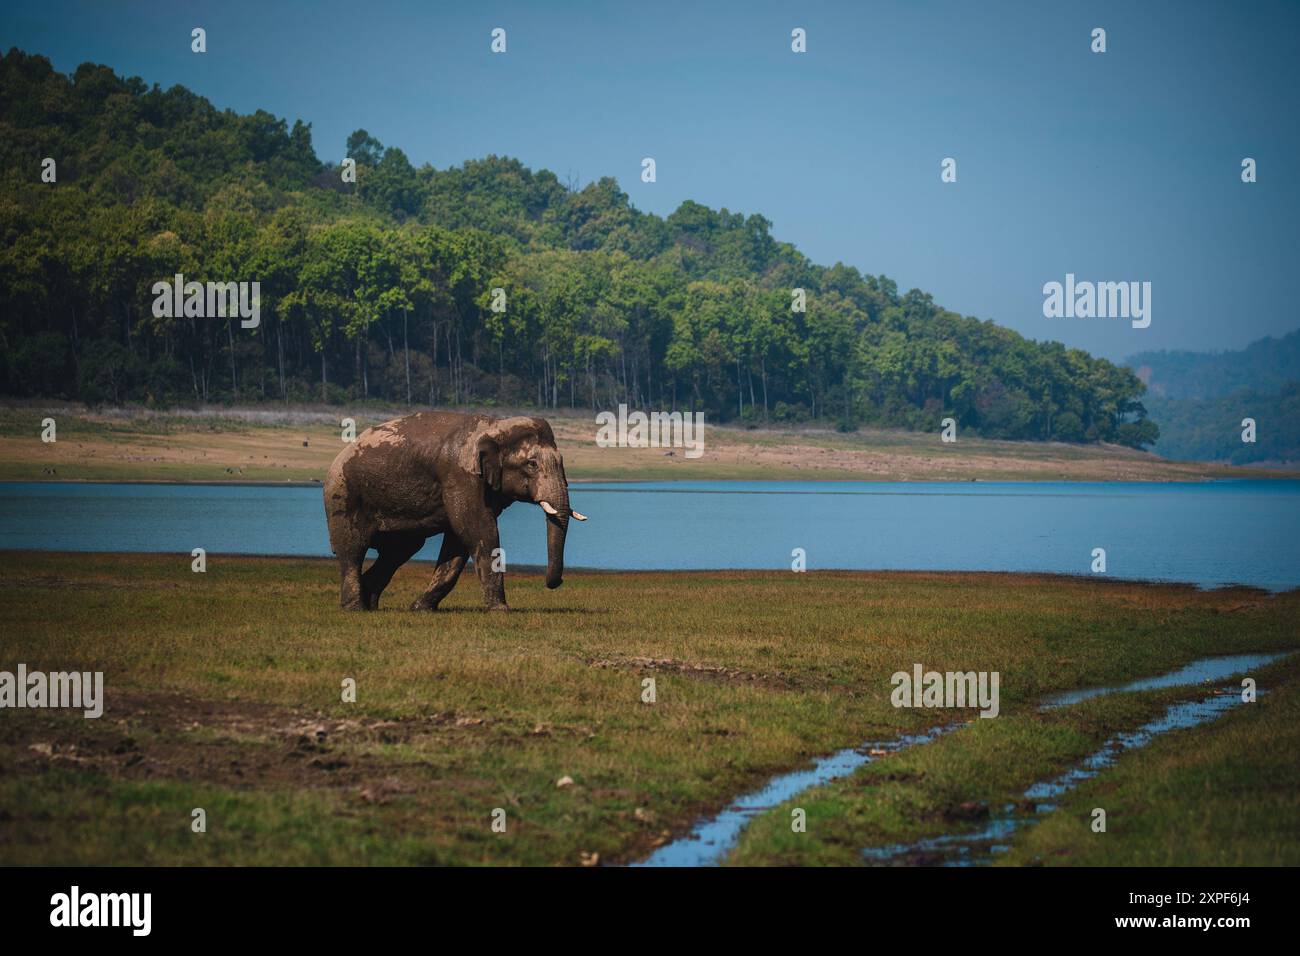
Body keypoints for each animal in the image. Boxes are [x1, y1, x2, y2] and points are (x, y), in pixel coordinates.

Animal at [322, 411, 587, 613]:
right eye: (532, 464)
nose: (554, 583)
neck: (494, 425)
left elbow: (457, 542)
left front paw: (420, 609)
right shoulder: (460, 476)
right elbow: (479, 531)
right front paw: (501, 610)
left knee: (398, 552)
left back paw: (371, 606)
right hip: (343, 494)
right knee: (352, 549)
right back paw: (355, 608)